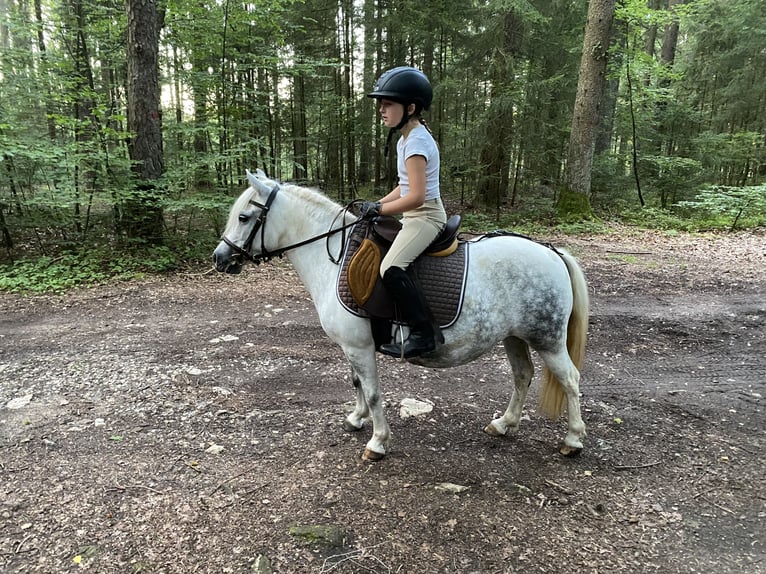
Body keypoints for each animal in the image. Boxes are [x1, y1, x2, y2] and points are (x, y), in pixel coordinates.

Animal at [213, 171, 592, 464]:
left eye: (244, 217)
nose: (219, 259)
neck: (335, 257)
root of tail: (552, 253)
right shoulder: (352, 346)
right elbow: (357, 383)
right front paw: (356, 418)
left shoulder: (359, 346)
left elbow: (374, 392)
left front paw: (377, 442)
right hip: (514, 336)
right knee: (522, 375)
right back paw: (504, 424)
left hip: (547, 339)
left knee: (570, 380)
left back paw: (572, 440)